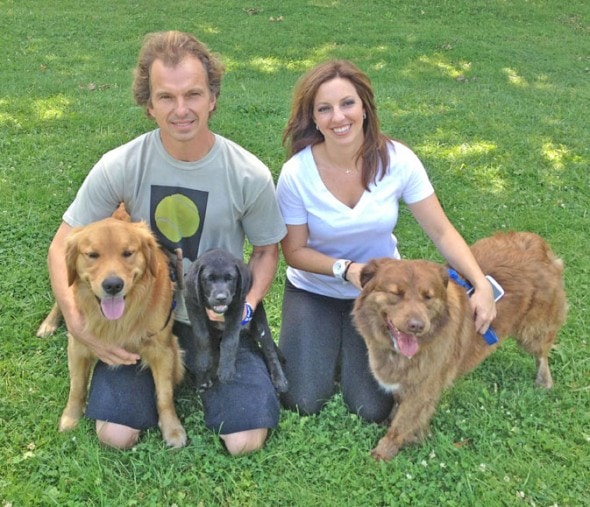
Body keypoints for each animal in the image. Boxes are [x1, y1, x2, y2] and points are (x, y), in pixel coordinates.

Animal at [37, 218, 185, 448]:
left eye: (128, 253)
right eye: (92, 255)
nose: (113, 285)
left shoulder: (163, 349)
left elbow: (164, 395)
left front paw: (172, 429)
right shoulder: (78, 345)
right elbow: (77, 387)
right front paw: (70, 418)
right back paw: (48, 324)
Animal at [184, 249, 288, 392]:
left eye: (230, 278)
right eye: (209, 279)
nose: (221, 298)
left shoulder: (238, 307)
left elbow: (229, 341)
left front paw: (226, 370)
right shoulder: (192, 304)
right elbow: (202, 336)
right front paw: (203, 362)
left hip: (260, 325)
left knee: (269, 351)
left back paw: (279, 379)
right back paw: (207, 377)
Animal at [356, 232, 568, 462]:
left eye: (428, 297)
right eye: (396, 293)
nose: (417, 326)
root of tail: (536, 241)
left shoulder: (422, 390)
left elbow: (402, 423)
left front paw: (385, 450)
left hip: (533, 330)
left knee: (542, 353)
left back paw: (544, 380)